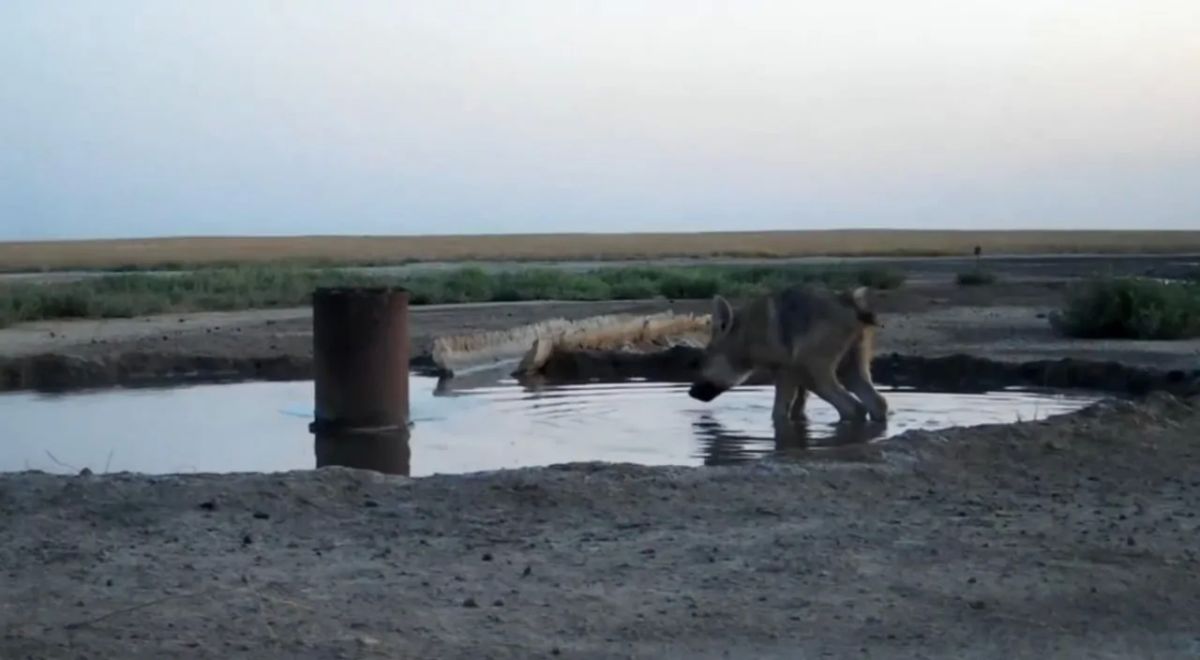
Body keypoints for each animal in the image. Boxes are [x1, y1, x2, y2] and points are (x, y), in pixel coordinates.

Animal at [687, 283, 888, 423]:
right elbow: (797, 409)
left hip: (818, 372)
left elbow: (779, 413)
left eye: (700, 362)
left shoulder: (786, 371)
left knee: (854, 408)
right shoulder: (797, 378)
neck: (745, 336)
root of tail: (851, 304)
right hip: (852, 366)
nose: (690, 392)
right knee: (877, 403)